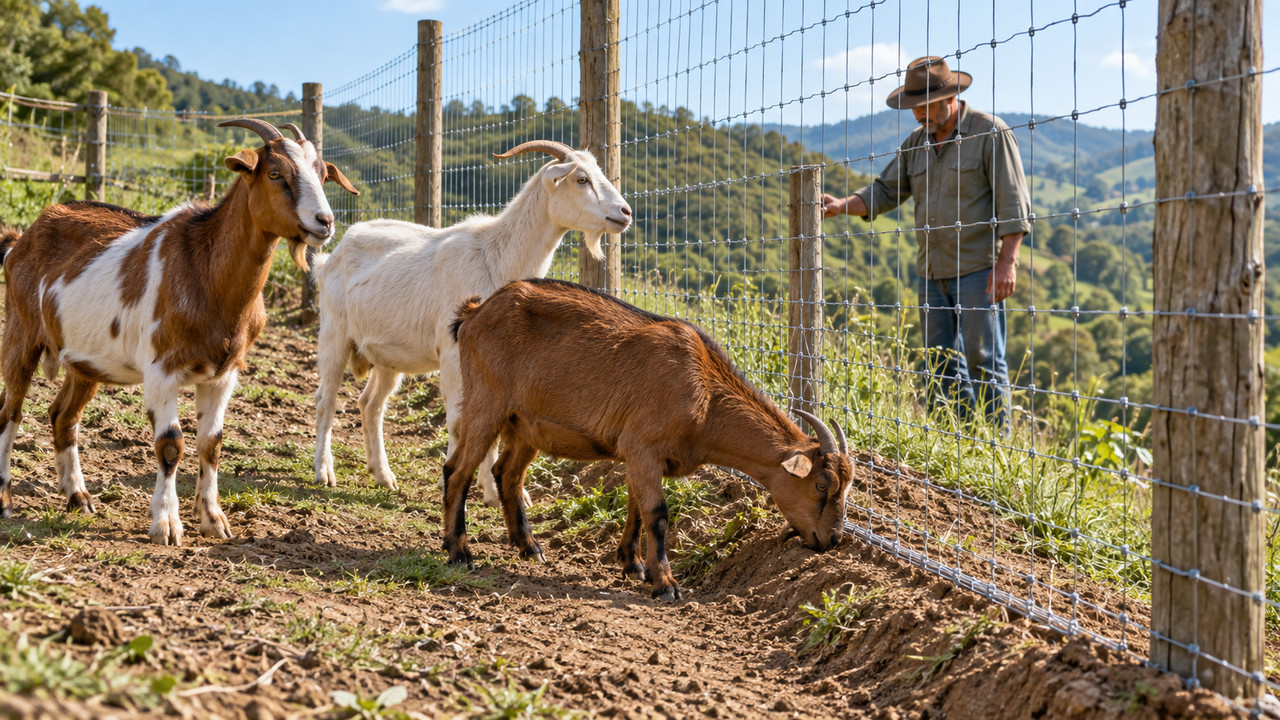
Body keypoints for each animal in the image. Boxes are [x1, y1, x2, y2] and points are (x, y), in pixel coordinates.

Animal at [0, 119, 358, 545]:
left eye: (322, 174)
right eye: (275, 174)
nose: (324, 222)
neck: (206, 273)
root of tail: (20, 239)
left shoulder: (224, 373)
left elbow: (211, 444)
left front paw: (214, 519)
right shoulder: (161, 369)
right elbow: (171, 444)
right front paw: (166, 524)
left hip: (85, 361)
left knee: (62, 416)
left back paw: (78, 497)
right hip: (20, 334)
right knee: (10, 412)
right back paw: (5, 500)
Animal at [311, 140, 631, 506]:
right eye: (581, 179)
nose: (625, 212)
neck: (496, 258)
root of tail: (330, 257)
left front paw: (500, 493)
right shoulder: (453, 355)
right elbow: (459, 423)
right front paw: (460, 485)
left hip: (388, 356)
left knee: (370, 405)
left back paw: (383, 476)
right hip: (334, 333)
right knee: (326, 400)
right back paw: (324, 471)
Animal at [443, 279, 853, 601]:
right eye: (822, 484)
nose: (832, 540)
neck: (705, 394)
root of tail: (473, 313)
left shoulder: (638, 455)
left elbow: (636, 508)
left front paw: (633, 564)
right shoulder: (644, 447)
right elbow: (656, 514)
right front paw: (665, 584)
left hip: (525, 424)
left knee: (506, 473)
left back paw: (529, 547)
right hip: (486, 403)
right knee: (457, 470)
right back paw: (459, 552)